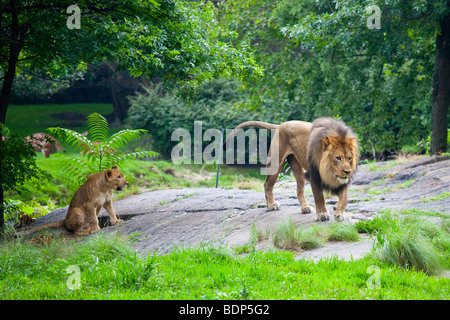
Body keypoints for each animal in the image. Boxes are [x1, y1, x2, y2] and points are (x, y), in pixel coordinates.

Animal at [229, 118, 358, 222]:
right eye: (338, 158)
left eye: (349, 158)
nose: (347, 172)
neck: (329, 171)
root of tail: (280, 125)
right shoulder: (314, 175)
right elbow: (319, 196)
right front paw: (322, 214)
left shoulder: (343, 180)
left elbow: (344, 197)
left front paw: (338, 212)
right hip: (275, 163)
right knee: (267, 184)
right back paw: (271, 205)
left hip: (298, 168)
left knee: (299, 190)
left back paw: (305, 208)